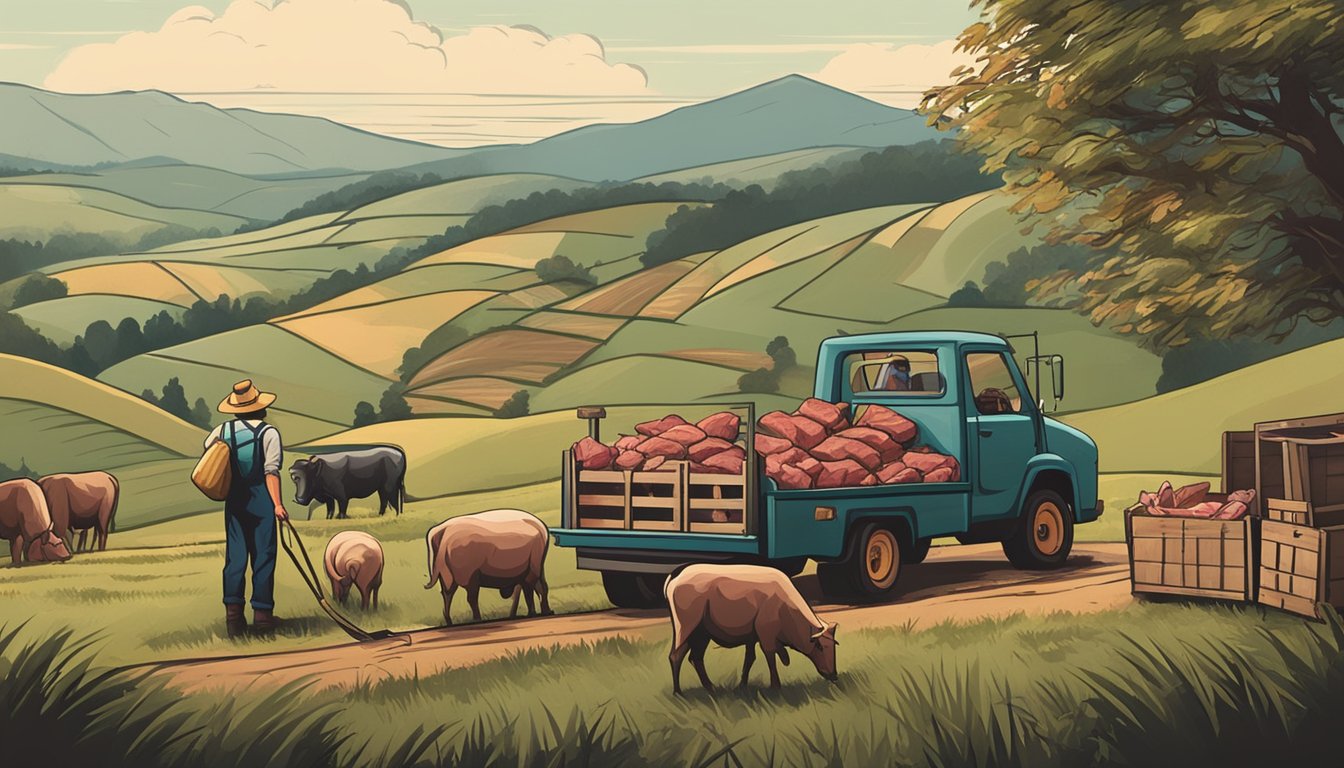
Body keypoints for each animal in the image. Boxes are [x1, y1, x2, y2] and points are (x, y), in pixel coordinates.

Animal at [416, 511, 548, 624]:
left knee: (448, 594)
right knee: (465, 596)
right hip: (466, 574)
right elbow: (530, 591)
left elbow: (534, 590)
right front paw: (533, 613)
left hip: (450, 573)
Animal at [663, 562, 833, 694]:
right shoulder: (766, 635)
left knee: (694, 657)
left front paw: (742, 685)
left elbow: (750, 659)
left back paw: (710, 688)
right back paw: (678, 692)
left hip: (700, 633)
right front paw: (776, 687)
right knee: (675, 656)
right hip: (685, 627)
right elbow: (770, 656)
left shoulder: (752, 637)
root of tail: (676, 575)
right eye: (819, 646)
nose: (834, 676)